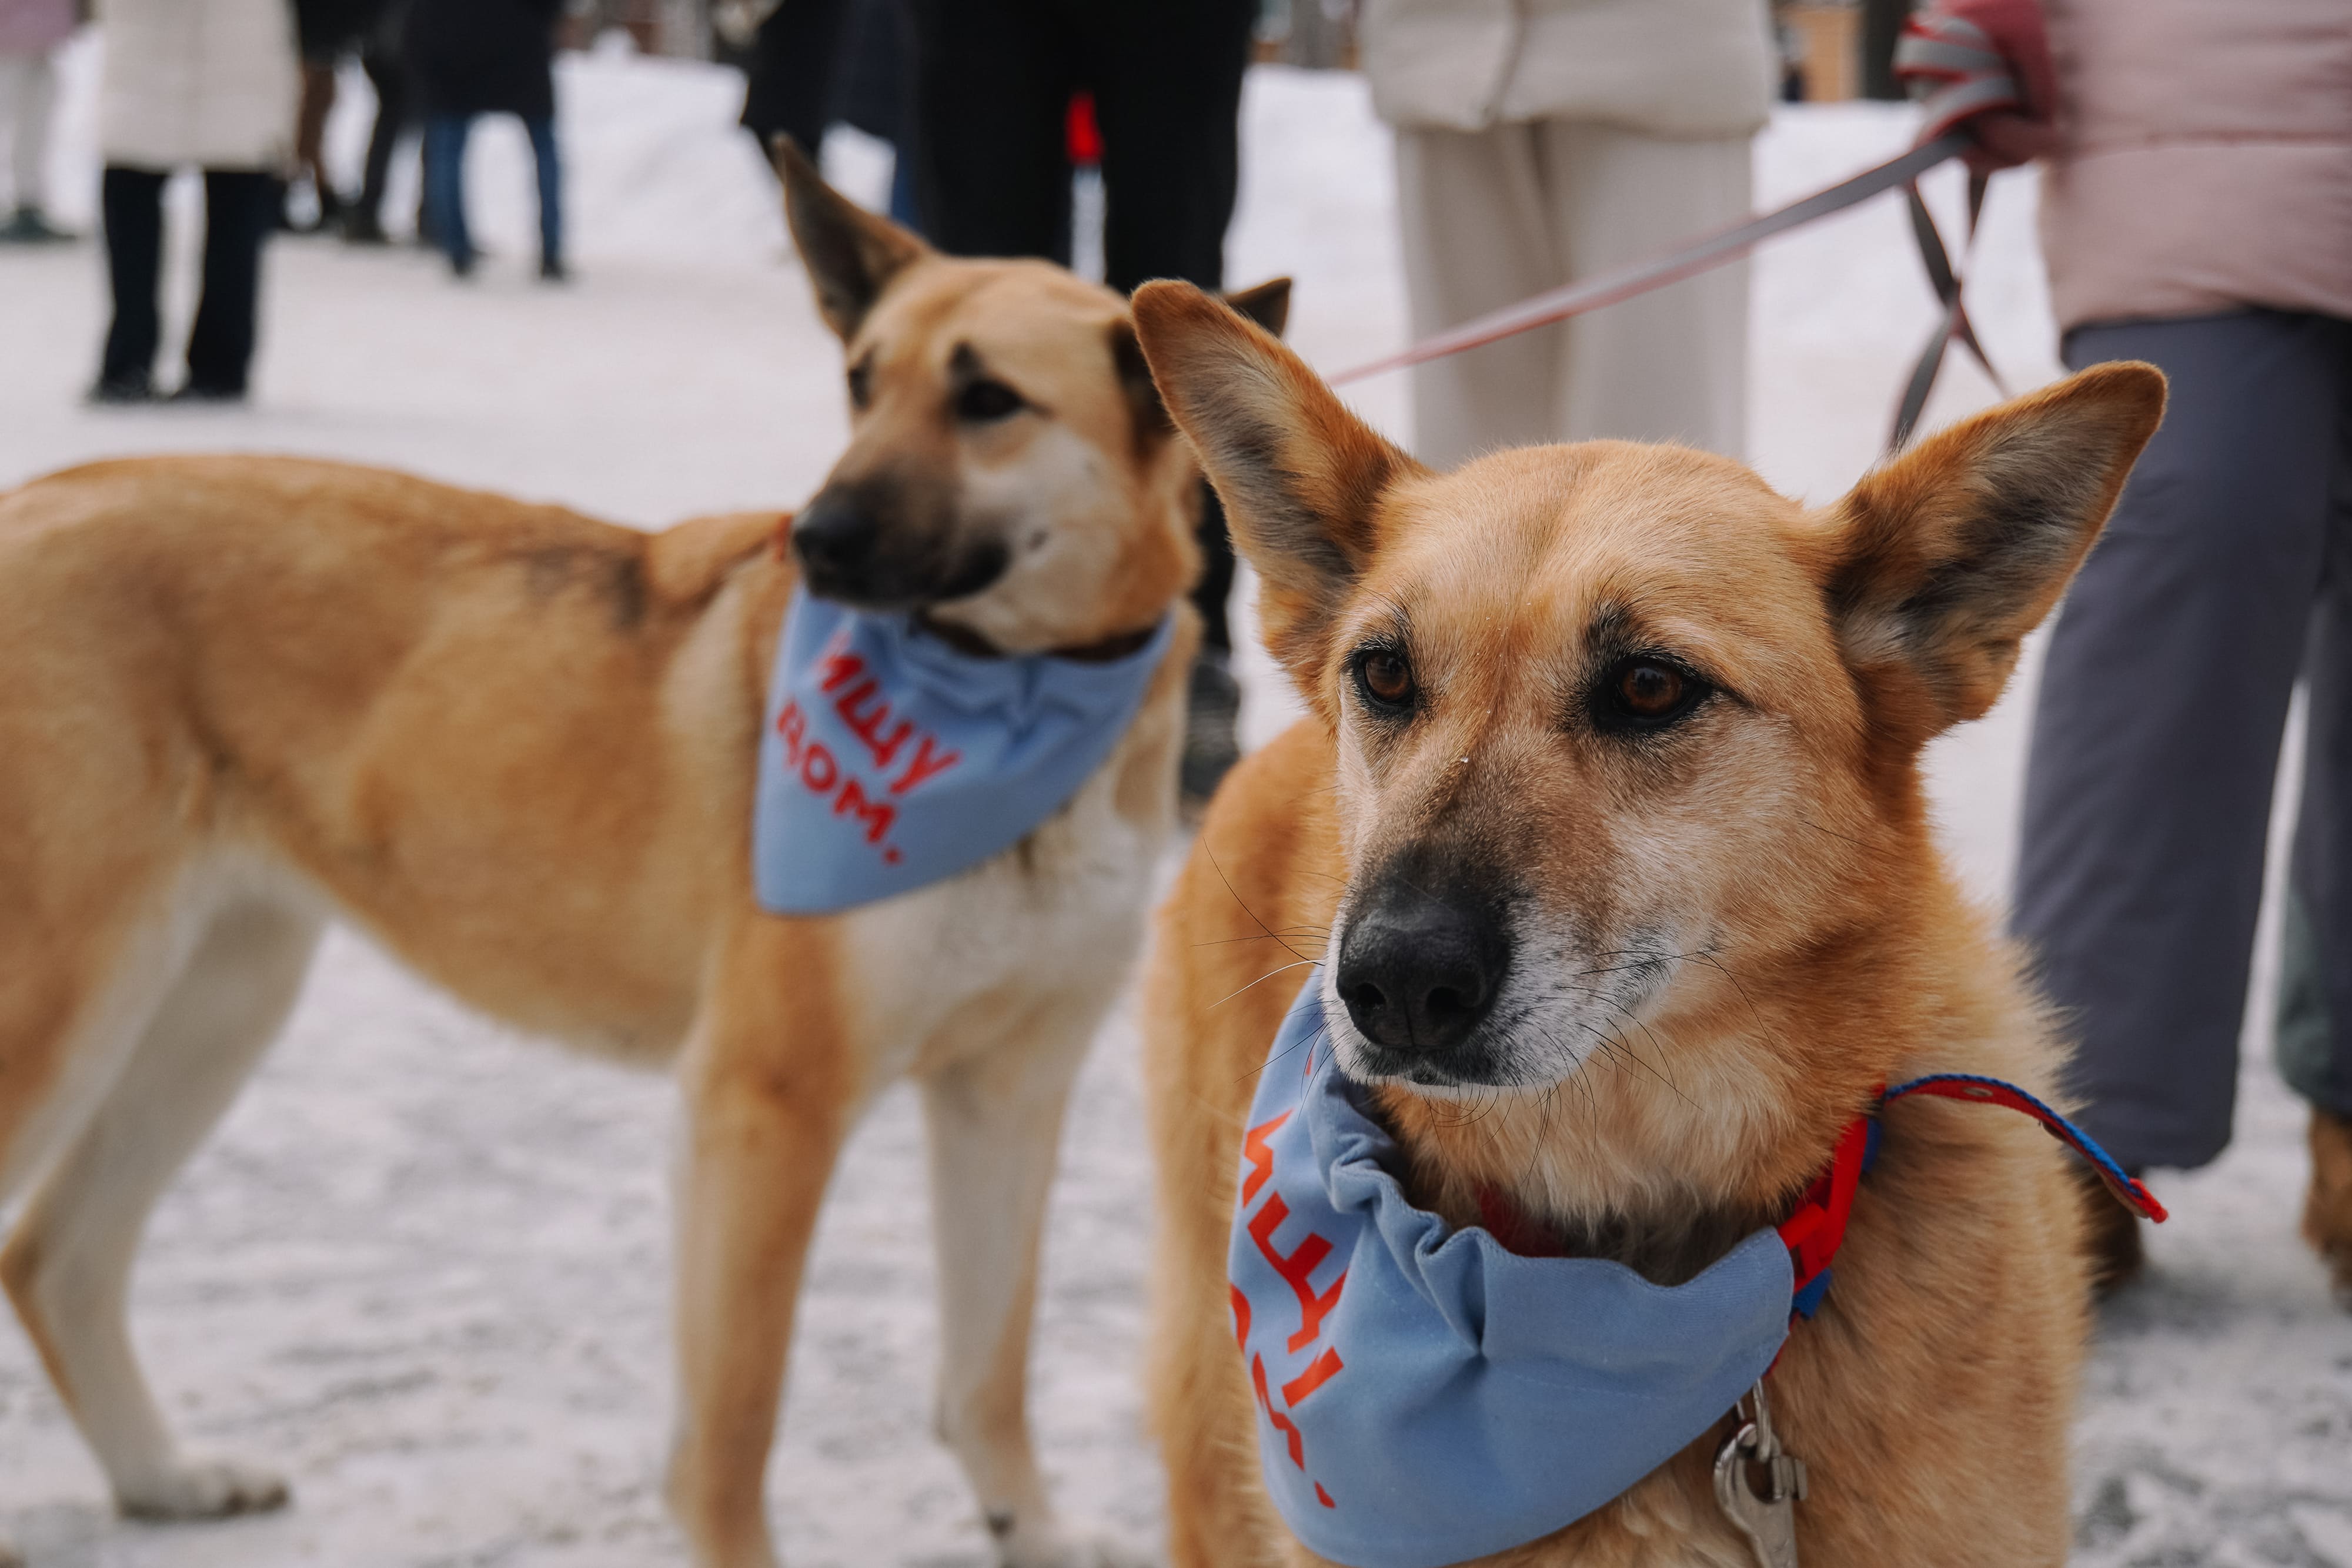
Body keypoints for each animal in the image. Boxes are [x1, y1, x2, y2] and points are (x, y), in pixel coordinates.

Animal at [0, 162, 1289, 1568]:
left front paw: (1033, 1530)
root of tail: (29, 501)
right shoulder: (762, 1106)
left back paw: (164, 1478)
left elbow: (988, 1369)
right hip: (69, 1010)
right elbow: (733, 1431)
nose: (813, 537)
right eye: (860, 379)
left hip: (216, 1002)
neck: (1005, 699)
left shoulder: (1008, 1087)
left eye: (988, 400)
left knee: (58, 1255)